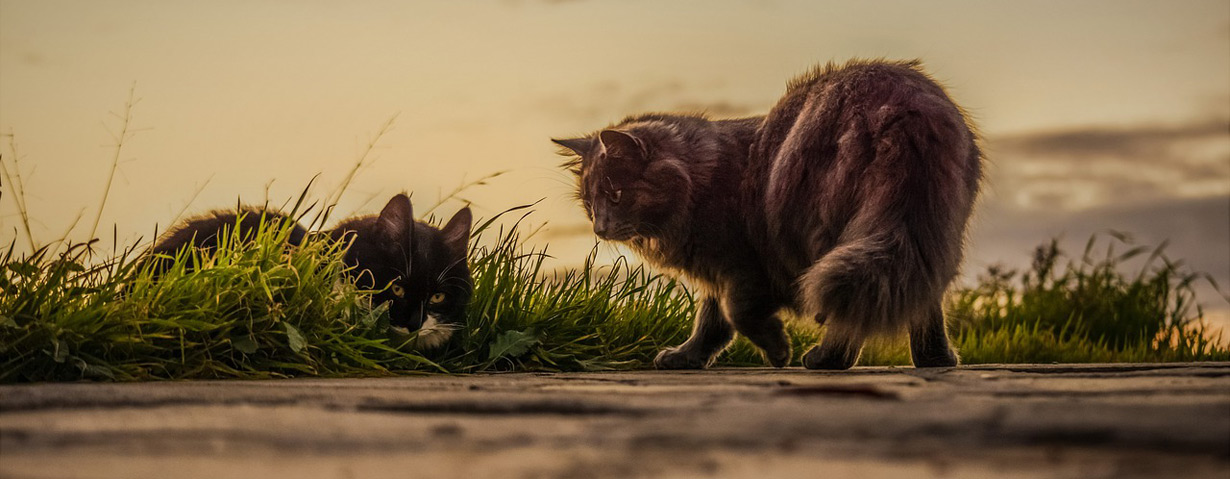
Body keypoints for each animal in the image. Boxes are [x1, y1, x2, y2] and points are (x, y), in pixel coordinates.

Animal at [553, 58, 984, 366]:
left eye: (616, 193)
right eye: (590, 203)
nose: (599, 228)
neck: (703, 178)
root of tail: (903, 104)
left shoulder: (742, 265)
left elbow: (735, 314)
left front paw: (779, 350)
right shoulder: (717, 272)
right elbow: (711, 323)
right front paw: (687, 357)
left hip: (829, 231)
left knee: (852, 304)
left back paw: (827, 360)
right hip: (924, 228)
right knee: (922, 296)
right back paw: (935, 360)